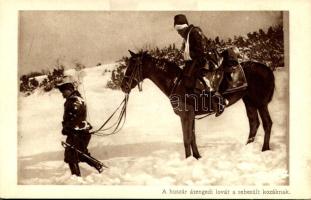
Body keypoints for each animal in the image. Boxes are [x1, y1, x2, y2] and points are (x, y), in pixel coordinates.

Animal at [122, 50, 276, 159]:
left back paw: (265, 149)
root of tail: (267, 69)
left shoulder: (185, 116)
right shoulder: (191, 116)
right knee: (254, 123)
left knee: (267, 123)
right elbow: (192, 137)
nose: (124, 86)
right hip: (249, 102)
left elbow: (186, 138)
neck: (177, 83)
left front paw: (188, 159)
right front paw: (197, 157)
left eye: (131, 66)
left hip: (261, 103)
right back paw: (247, 148)